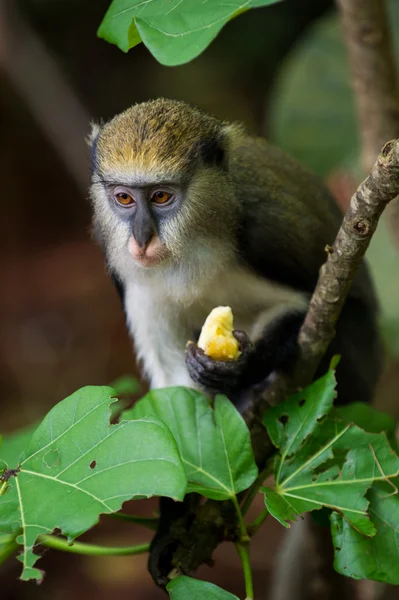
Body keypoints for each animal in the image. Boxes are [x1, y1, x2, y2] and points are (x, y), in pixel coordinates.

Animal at [88, 97, 384, 584]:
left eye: (162, 196)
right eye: (124, 198)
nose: (142, 239)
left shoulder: (265, 234)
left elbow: (311, 314)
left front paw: (241, 366)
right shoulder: (125, 274)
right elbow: (174, 395)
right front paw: (172, 528)